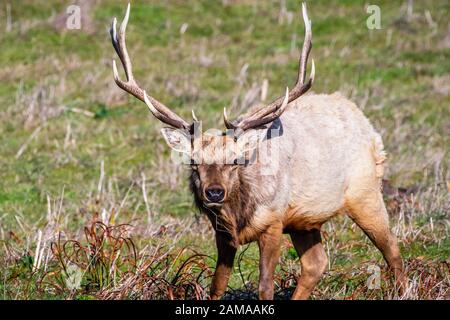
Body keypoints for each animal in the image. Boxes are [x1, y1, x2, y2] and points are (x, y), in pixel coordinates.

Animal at [110, 3, 406, 300]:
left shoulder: (274, 221)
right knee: (316, 263)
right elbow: (217, 284)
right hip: (305, 221)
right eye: (193, 162)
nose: (214, 192)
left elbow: (265, 285)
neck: (240, 215)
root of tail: (365, 122)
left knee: (392, 248)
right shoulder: (222, 234)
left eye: (235, 161)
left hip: (365, 191)